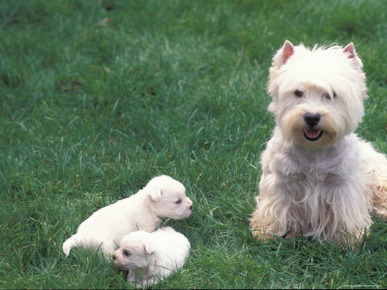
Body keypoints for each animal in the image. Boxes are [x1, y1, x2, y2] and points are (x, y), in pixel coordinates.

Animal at [62, 174, 194, 256]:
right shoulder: (146, 227)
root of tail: (80, 236)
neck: (148, 206)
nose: (191, 206)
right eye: (178, 201)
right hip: (105, 245)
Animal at [250, 39, 386, 246]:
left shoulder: (341, 185)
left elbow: (344, 215)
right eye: (298, 92)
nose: (312, 117)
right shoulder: (282, 181)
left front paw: (348, 239)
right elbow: (276, 209)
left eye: (331, 95)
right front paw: (266, 232)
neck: (314, 149)